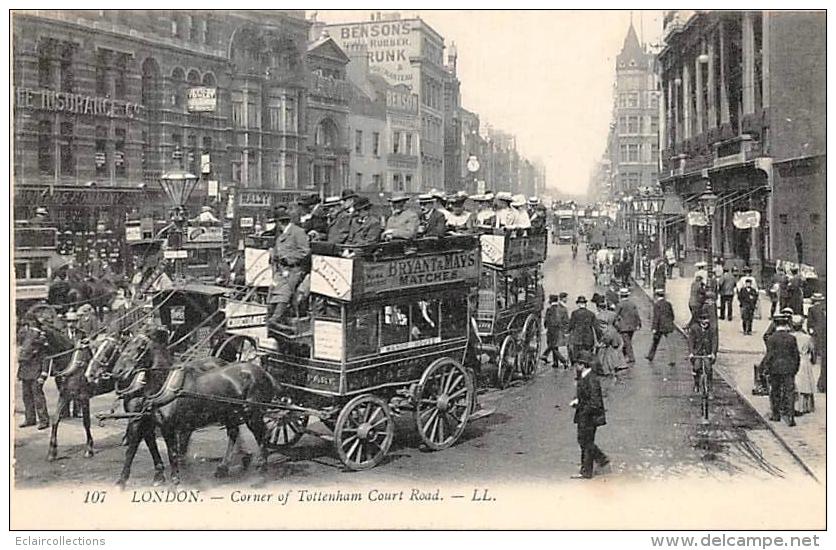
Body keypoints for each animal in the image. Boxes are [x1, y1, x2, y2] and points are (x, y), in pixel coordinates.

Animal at [104, 330, 274, 490]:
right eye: (123, 347)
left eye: (140, 348)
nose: (118, 371)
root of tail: (263, 372)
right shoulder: (147, 421)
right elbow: (140, 448)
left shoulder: (164, 426)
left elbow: (169, 452)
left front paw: (174, 481)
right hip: (230, 412)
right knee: (235, 433)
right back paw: (225, 467)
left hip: (253, 414)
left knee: (263, 435)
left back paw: (261, 470)